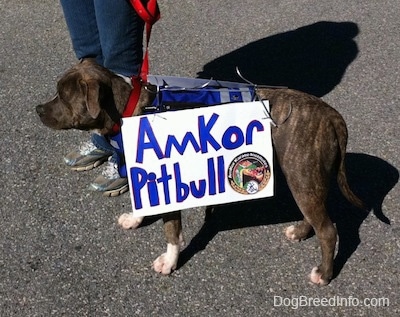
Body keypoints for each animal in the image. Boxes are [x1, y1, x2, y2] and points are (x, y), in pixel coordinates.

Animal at [36, 58, 364, 286]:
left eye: (62, 96)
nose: (38, 109)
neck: (128, 111)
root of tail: (331, 116)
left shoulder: (170, 185)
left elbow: (171, 230)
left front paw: (170, 261)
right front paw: (135, 218)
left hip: (302, 177)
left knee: (328, 230)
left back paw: (324, 273)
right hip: (306, 181)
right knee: (317, 218)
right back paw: (300, 231)